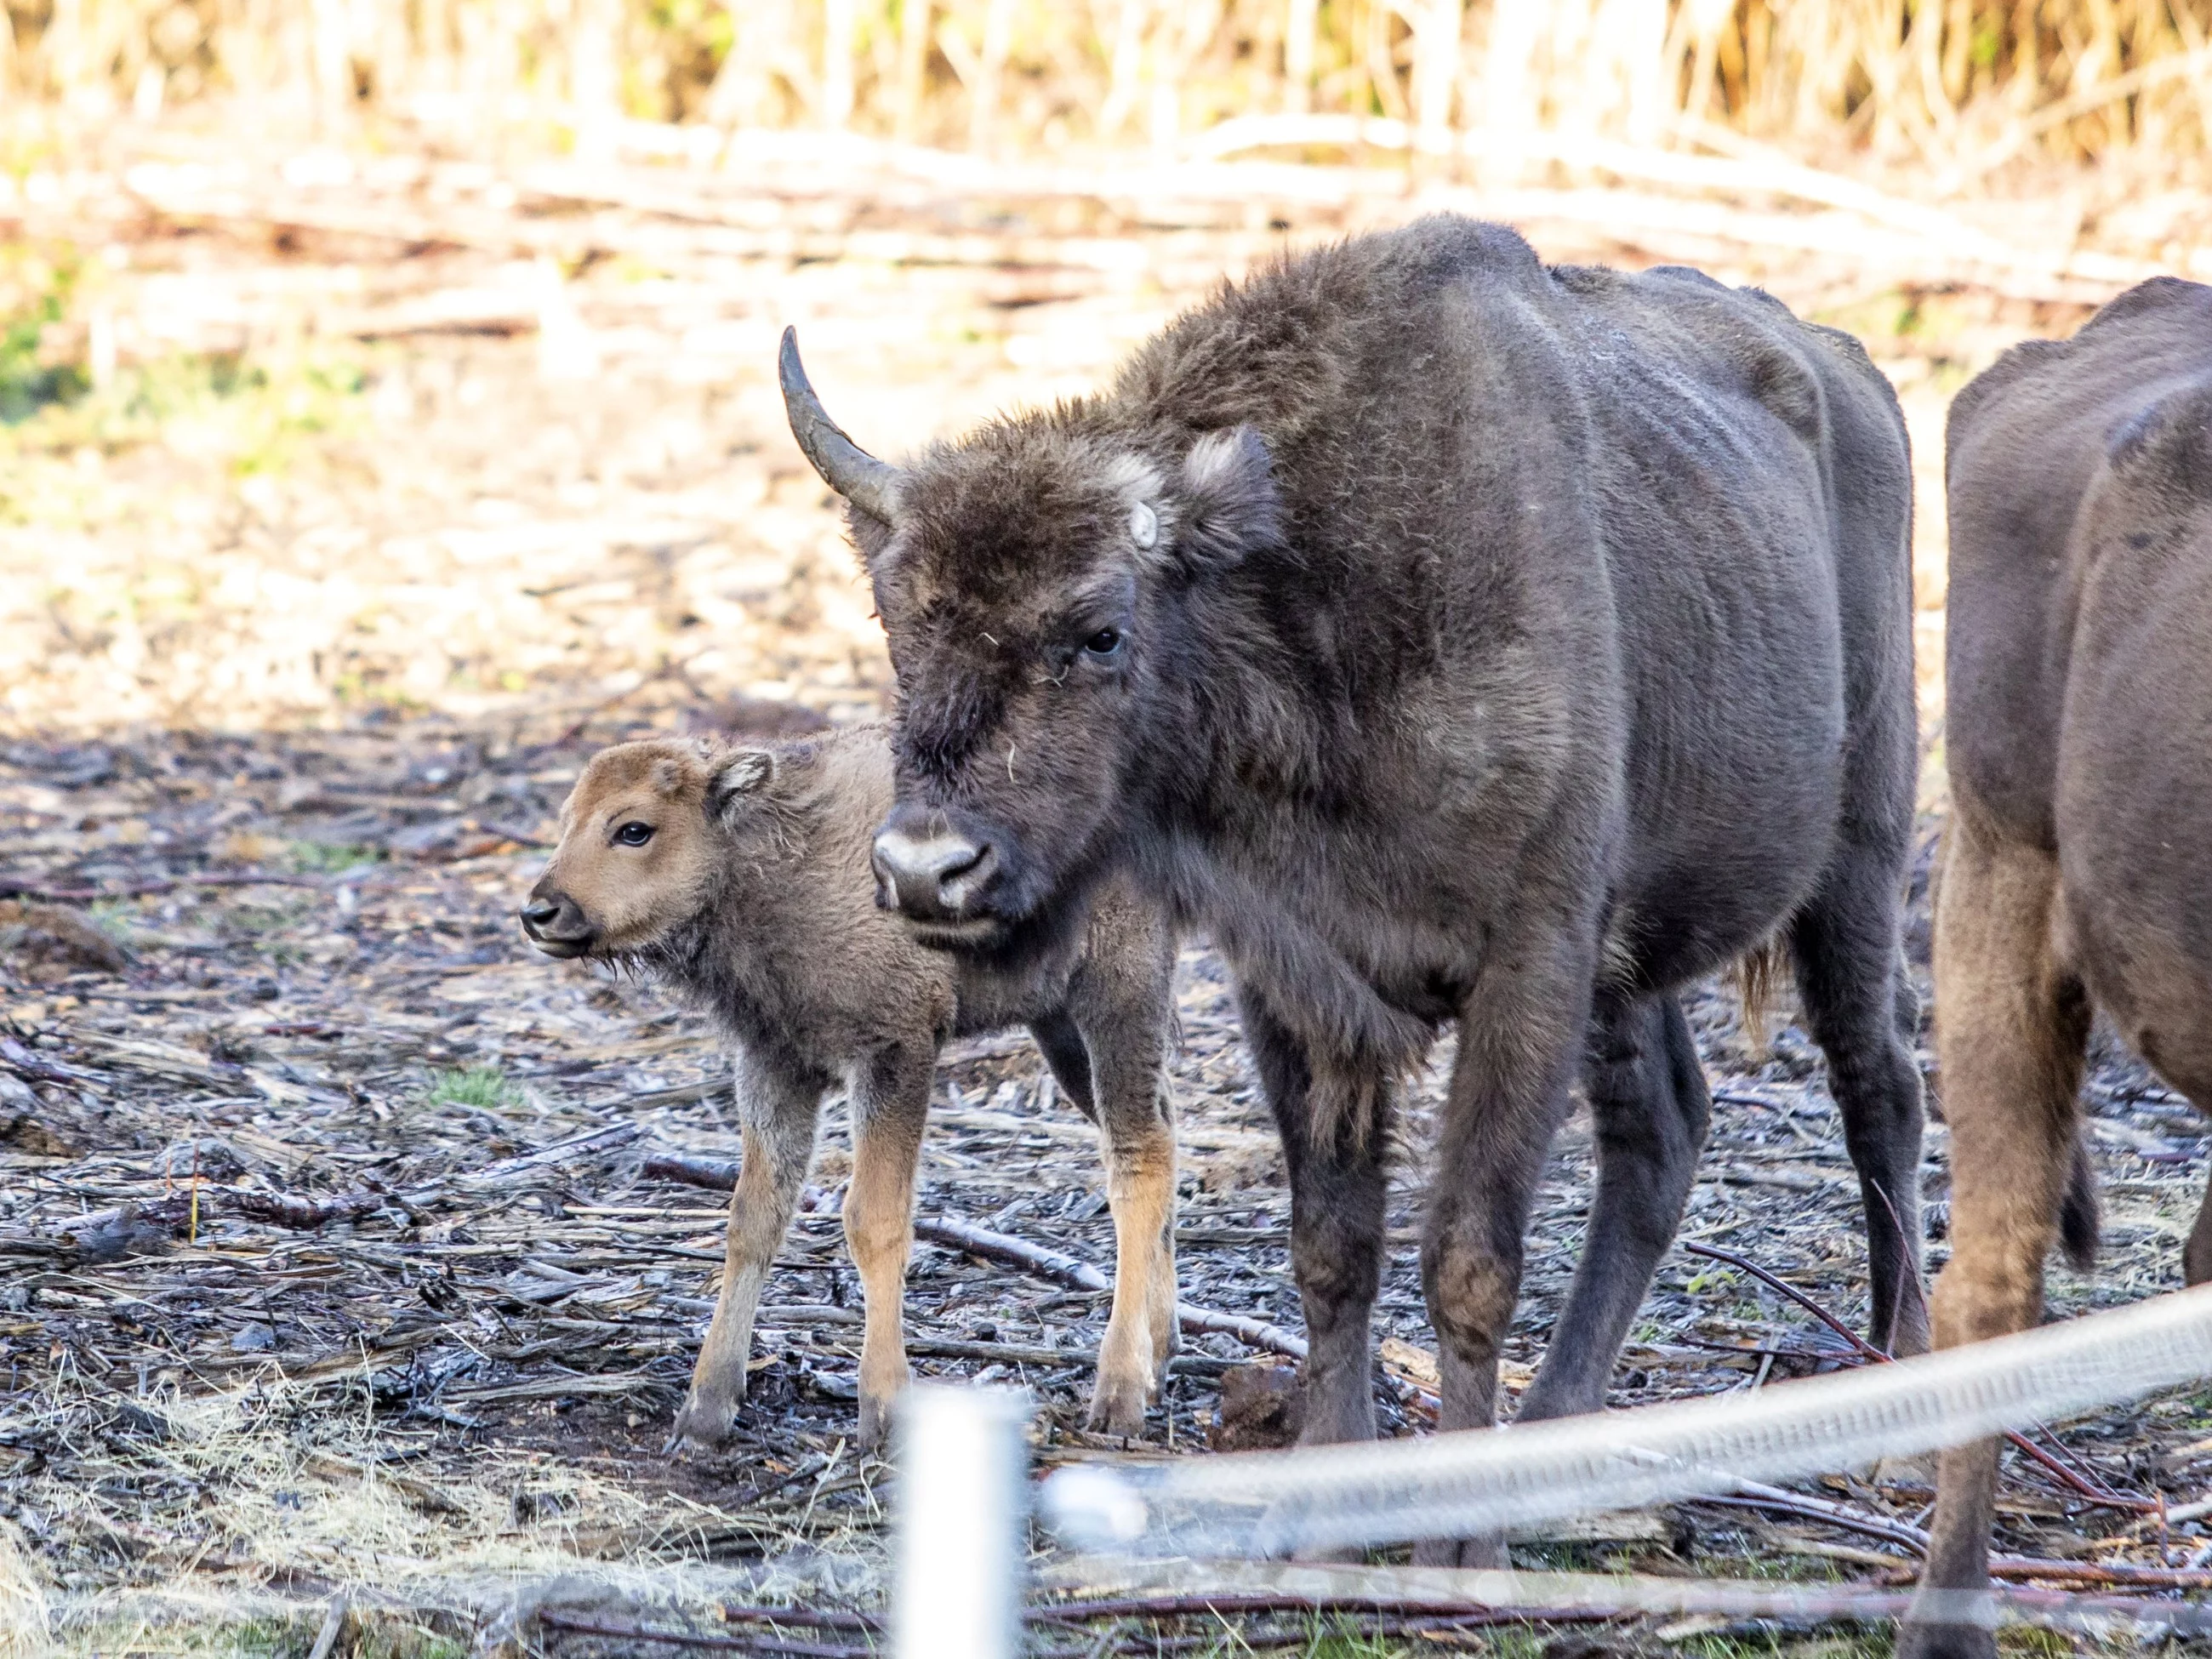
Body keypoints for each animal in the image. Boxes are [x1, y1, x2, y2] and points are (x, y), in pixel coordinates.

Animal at [517, 734, 1185, 1451]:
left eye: (634, 829)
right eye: (567, 820)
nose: (540, 912)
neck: (768, 857)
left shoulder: (895, 1053)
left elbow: (874, 1219)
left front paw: (885, 1409)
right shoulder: (775, 1064)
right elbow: (754, 1218)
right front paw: (704, 1411)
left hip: (1118, 992)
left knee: (1137, 1159)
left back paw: (1119, 1394)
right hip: (1059, 1027)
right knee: (1163, 1129)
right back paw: (1161, 1353)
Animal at [787, 214, 1929, 1565]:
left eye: (1099, 631)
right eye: (895, 620)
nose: (926, 868)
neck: (1314, 599)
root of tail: (1851, 373)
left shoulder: (1527, 965)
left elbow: (1468, 1255)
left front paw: (1462, 1546)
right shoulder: (1293, 976)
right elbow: (1332, 1244)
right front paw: (1330, 1505)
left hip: (1858, 858)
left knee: (1880, 1085)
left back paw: (1902, 1401)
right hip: (1636, 961)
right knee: (1664, 1129)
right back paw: (1562, 1424)